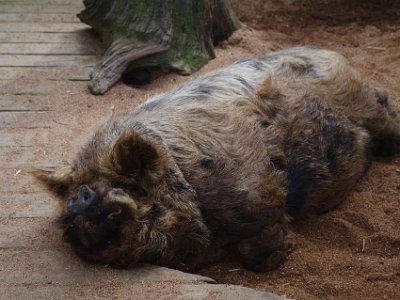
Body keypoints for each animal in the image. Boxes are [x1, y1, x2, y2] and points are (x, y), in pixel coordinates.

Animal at [38, 46, 400, 272]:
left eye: (122, 183)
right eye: (79, 184)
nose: (77, 197)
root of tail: (331, 53)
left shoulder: (260, 197)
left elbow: (260, 251)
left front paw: (285, 252)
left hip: (368, 102)